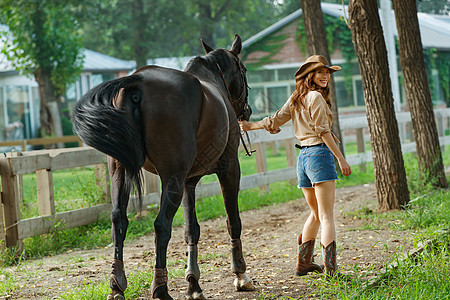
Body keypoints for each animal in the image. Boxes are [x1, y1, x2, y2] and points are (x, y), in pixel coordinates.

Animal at [71, 34, 253, 298]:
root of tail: (137, 82)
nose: (247, 111)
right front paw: (240, 274)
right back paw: (160, 287)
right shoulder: (229, 168)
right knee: (161, 226)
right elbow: (233, 221)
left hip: (121, 171)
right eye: (244, 70)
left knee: (118, 220)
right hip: (172, 178)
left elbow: (192, 230)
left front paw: (193, 284)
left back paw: (116, 284)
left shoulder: (189, 182)